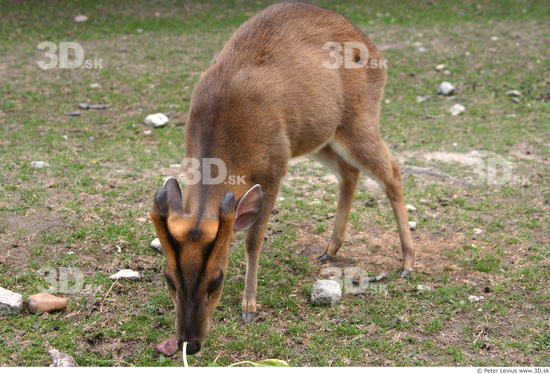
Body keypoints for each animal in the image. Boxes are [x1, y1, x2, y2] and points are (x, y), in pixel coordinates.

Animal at [149, 2, 416, 354]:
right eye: (168, 277)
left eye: (217, 279)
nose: (189, 343)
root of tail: (375, 52)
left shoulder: (275, 166)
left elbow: (253, 239)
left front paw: (249, 307)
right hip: (321, 135)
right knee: (350, 172)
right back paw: (330, 248)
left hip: (360, 119)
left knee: (392, 171)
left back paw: (407, 262)